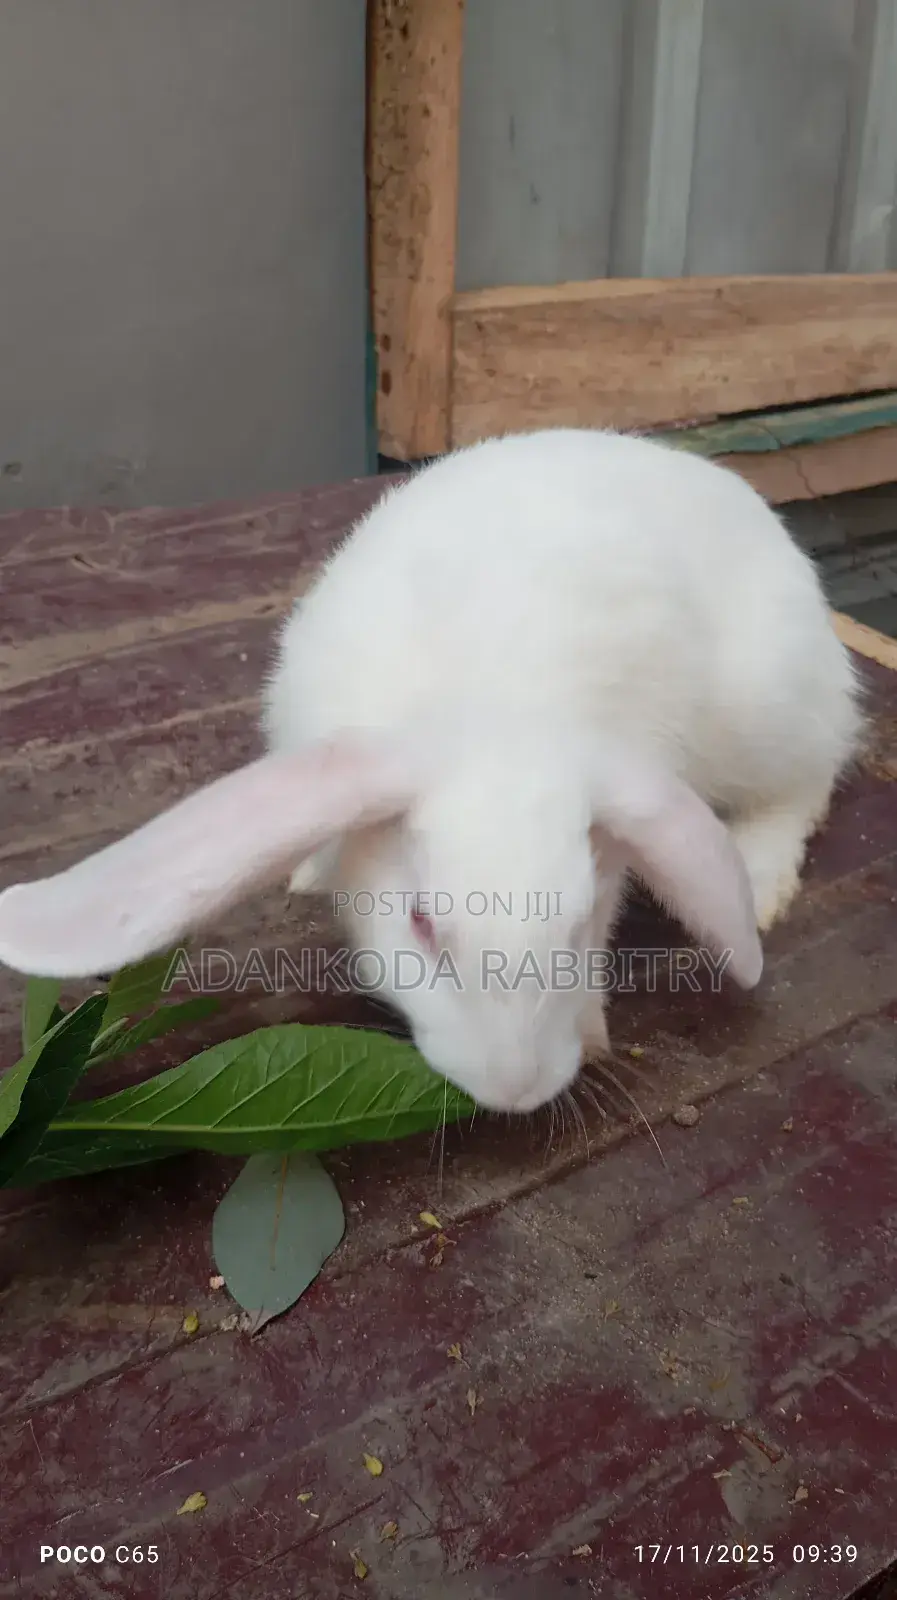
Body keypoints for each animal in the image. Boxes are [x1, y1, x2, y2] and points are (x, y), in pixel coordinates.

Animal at [0, 428, 862, 1114]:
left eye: (580, 924)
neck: (488, 716)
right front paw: (310, 869)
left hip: (764, 713)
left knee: (807, 780)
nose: (513, 1091)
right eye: (420, 923)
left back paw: (761, 884)